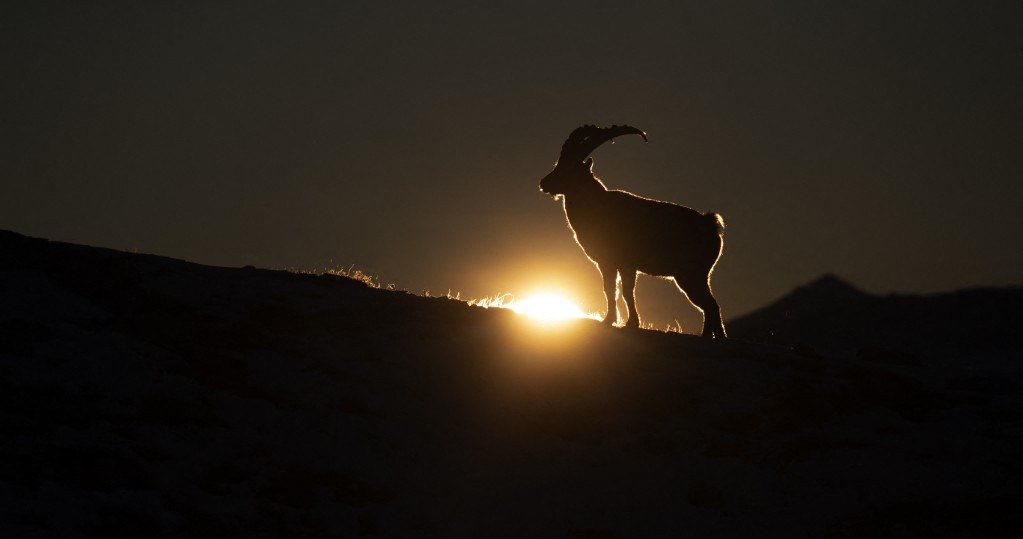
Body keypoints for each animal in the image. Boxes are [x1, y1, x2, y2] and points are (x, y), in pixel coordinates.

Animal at [539, 125, 727, 338]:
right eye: (558, 165)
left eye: (568, 168)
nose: (543, 183)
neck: (596, 206)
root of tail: (710, 223)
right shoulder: (612, 264)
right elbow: (613, 290)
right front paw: (615, 321)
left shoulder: (622, 263)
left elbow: (623, 291)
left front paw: (626, 322)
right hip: (697, 276)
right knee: (708, 306)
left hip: (690, 274)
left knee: (711, 305)